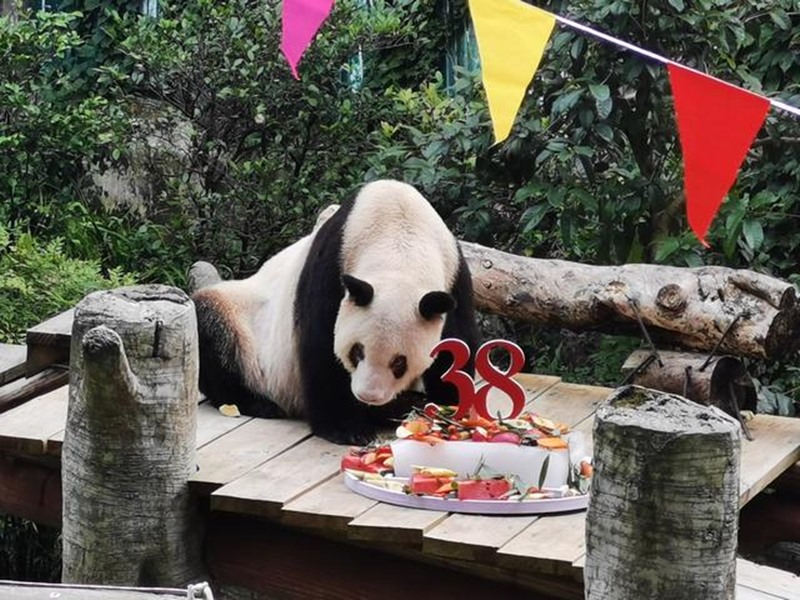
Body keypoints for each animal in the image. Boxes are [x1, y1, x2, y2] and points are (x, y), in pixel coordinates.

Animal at [194, 179, 482, 446]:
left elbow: (456, 345)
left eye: (400, 362)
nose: (369, 396)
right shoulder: (333, 263)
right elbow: (322, 345)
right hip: (242, 321)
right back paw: (259, 403)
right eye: (357, 352)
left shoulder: (454, 277)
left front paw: (447, 407)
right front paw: (346, 429)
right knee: (210, 329)